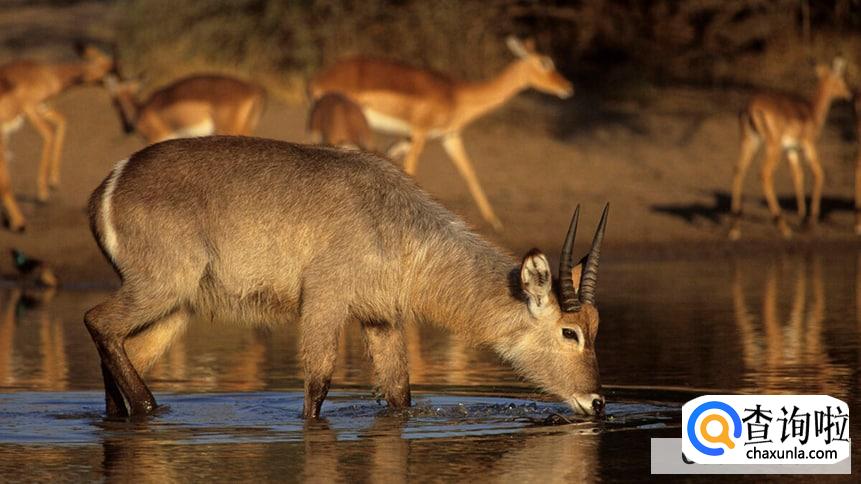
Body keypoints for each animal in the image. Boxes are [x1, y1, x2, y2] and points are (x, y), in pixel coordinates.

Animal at [0, 46, 114, 232]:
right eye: (106, 64)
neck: (48, 73)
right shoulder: (30, 109)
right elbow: (48, 134)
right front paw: (42, 195)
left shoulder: (41, 108)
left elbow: (61, 123)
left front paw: (52, 182)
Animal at [84, 137, 608, 420]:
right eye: (570, 333)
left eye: (596, 329)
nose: (599, 402)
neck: (399, 227)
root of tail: (110, 181)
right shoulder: (324, 300)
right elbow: (317, 384)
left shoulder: (381, 318)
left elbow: (400, 396)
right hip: (160, 287)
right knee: (97, 321)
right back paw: (148, 408)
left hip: (177, 307)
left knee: (123, 349)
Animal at [310, 36, 572, 230]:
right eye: (544, 62)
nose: (567, 87)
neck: (458, 96)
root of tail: (321, 79)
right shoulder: (421, 134)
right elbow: (411, 169)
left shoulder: (449, 137)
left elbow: (469, 172)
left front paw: (495, 222)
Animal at [728, 57, 848, 240]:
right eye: (841, 79)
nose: (850, 94)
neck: (812, 111)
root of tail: (751, 108)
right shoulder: (809, 146)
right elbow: (818, 174)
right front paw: (810, 220)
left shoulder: (791, 150)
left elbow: (798, 176)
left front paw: (802, 217)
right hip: (773, 147)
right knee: (764, 174)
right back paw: (783, 227)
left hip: (750, 142)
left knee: (738, 170)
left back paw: (735, 229)